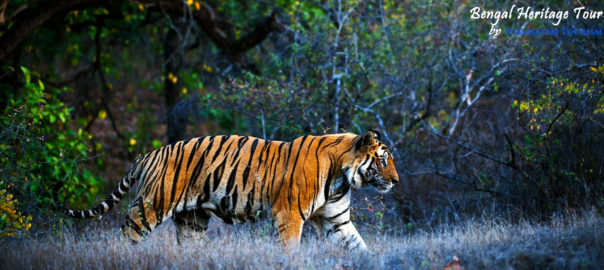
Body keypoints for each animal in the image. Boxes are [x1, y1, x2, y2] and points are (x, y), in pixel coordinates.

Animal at [61, 130, 398, 250]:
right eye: (383, 160)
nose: (396, 181)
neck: (342, 176)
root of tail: (149, 154)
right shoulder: (288, 216)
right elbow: (290, 250)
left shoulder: (336, 221)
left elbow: (358, 247)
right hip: (151, 206)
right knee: (126, 235)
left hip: (192, 221)